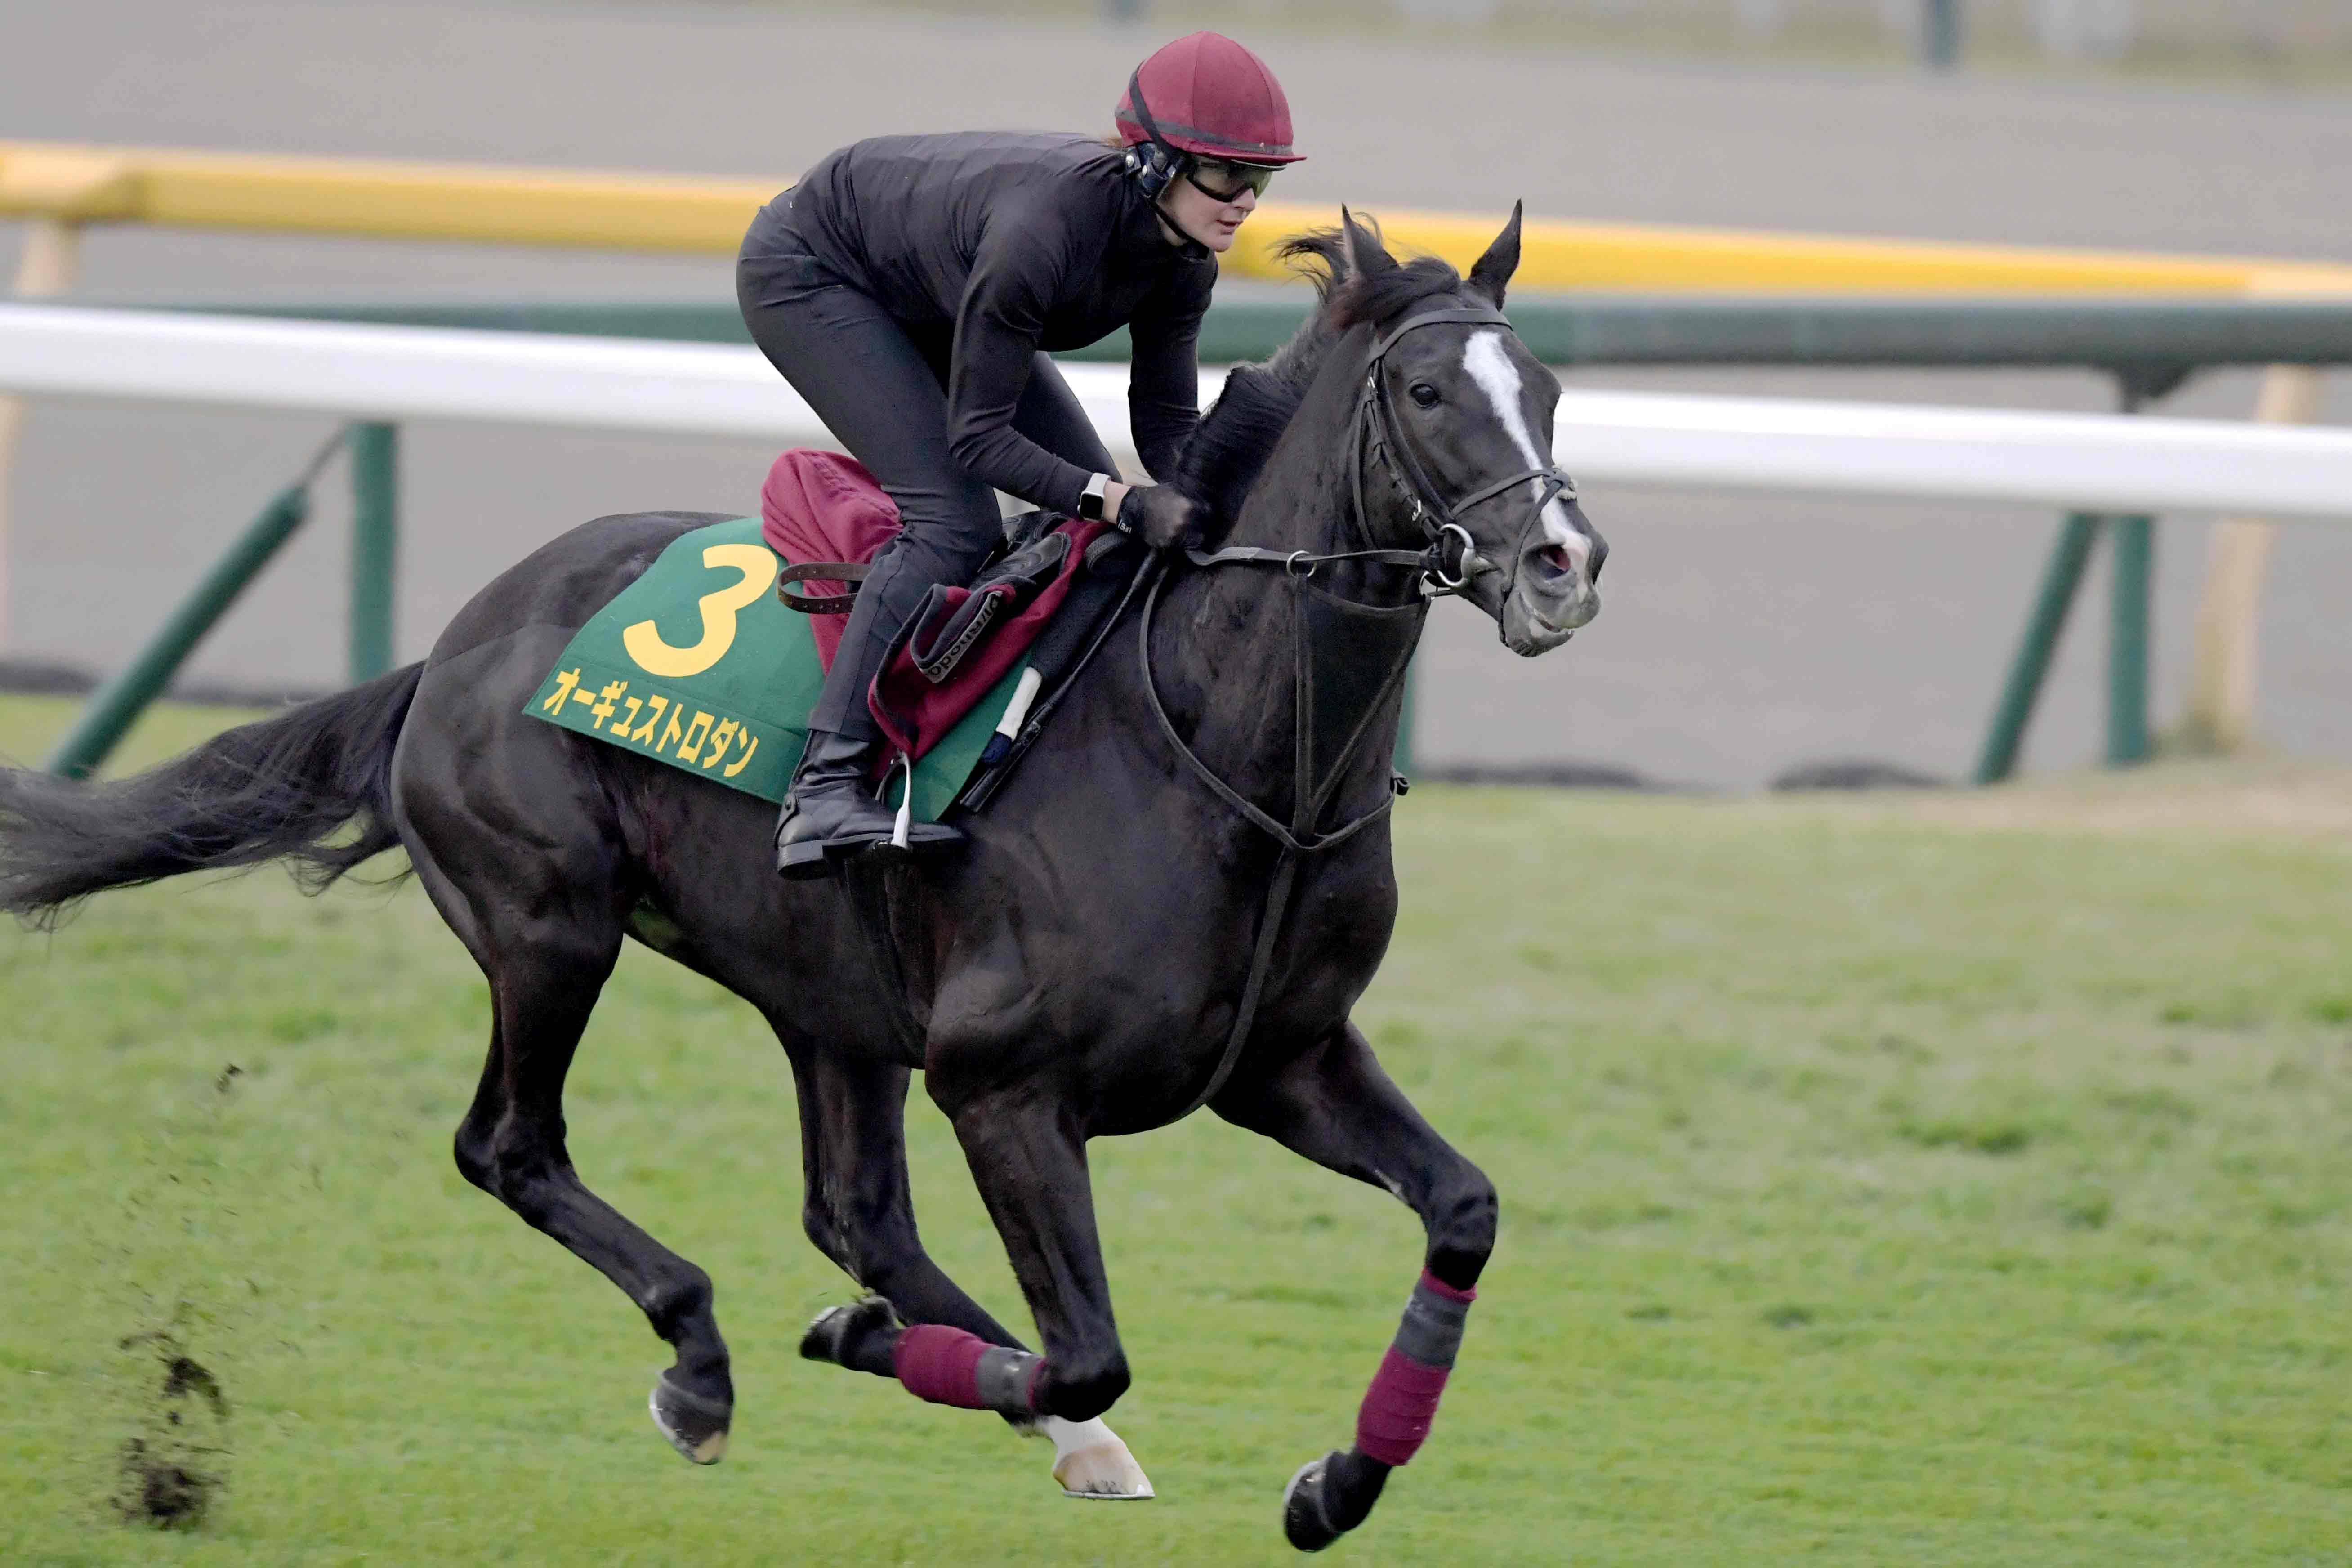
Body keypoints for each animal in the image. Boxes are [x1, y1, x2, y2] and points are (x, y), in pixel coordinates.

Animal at [0, 211, 1599, 1561]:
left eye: (1545, 386)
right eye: (1432, 395)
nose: (1562, 561)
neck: (1222, 753)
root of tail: (453, 647)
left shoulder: (1281, 1058)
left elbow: (1462, 1209)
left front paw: (1337, 1480)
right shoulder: (1003, 1082)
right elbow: (1089, 1343)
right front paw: (866, 1345)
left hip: (828, 990)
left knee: (856, 1212)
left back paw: (1032, 1422)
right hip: (549, 925)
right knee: (511, 1146)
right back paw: (709, 1360)